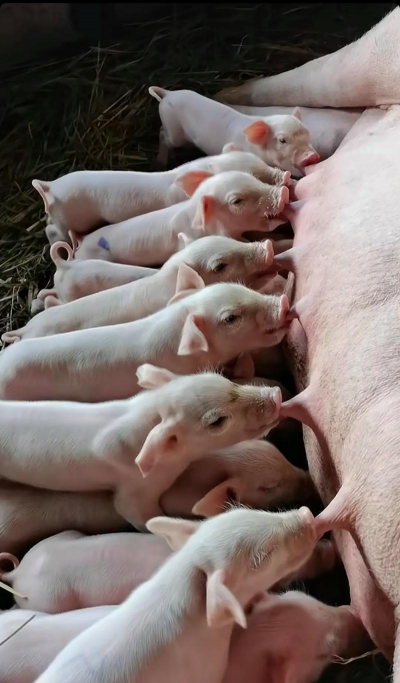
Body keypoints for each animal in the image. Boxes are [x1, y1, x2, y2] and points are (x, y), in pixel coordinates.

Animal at [149, 87, 319, 176]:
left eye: (307, 134)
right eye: (282, 140)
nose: (312, 156)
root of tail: (168, 93)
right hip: (173, 131)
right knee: (162, 133)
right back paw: (160, 162)